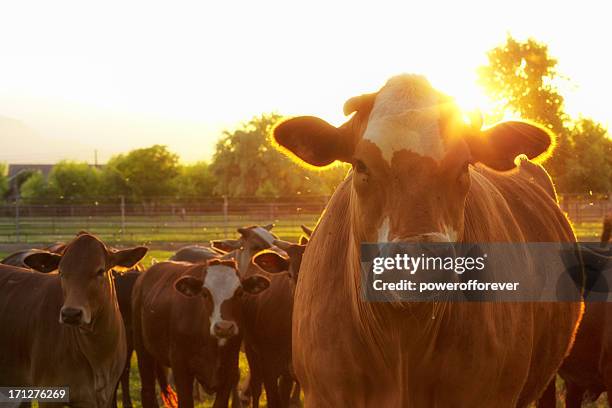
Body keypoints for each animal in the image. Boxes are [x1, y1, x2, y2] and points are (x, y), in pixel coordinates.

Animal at [135, 260, 272, 406]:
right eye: (205, 293)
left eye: (240, 292)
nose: (224, 327)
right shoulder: (181, 369)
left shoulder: (229, 372)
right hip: (143, 351)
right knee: (147, 391)